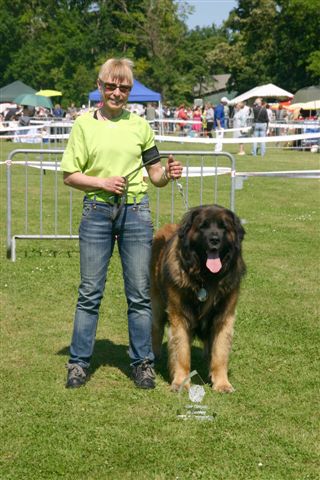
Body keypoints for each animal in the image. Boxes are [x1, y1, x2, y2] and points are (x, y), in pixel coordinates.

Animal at [151, 204, 246, 392]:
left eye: (224, 227)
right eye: (203, 226)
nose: (214, 239)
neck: (207, 278)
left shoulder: (224, 317)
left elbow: (220, 352)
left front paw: (222, 383)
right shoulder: (179, 316)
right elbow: (182, 352)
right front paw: (181, 382)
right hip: (157, 305)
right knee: (155, 330)